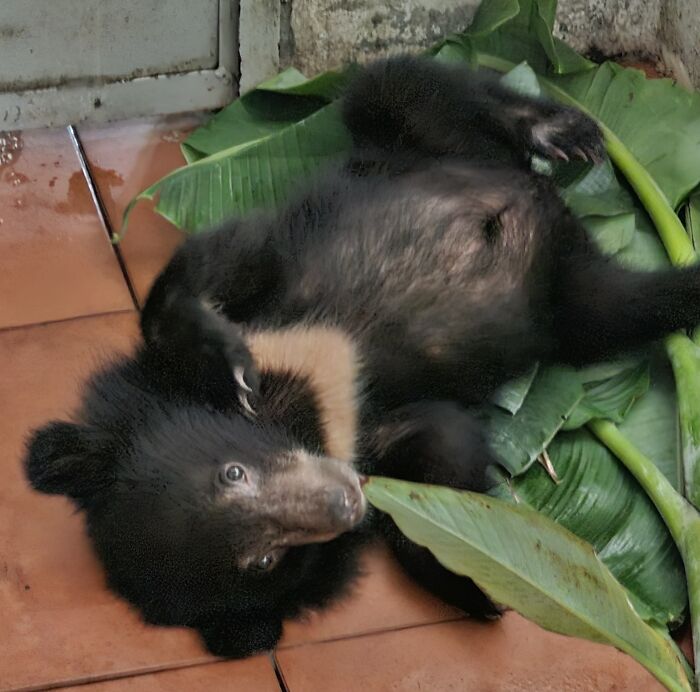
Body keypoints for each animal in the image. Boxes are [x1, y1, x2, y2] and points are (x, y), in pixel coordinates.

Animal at [24, 55, 700, 658]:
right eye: (265, 558)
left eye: (233, 473)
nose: (345, 503)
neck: (299, 412)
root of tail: (543, 204)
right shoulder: (371, 433)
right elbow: (443, 446)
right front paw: (470, 582)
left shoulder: (274, 286)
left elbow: (221, 259)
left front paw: (226, 361)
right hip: (573, 302)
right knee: (634, 305)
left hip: (418, 147)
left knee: (405, 86)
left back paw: (564, 131)